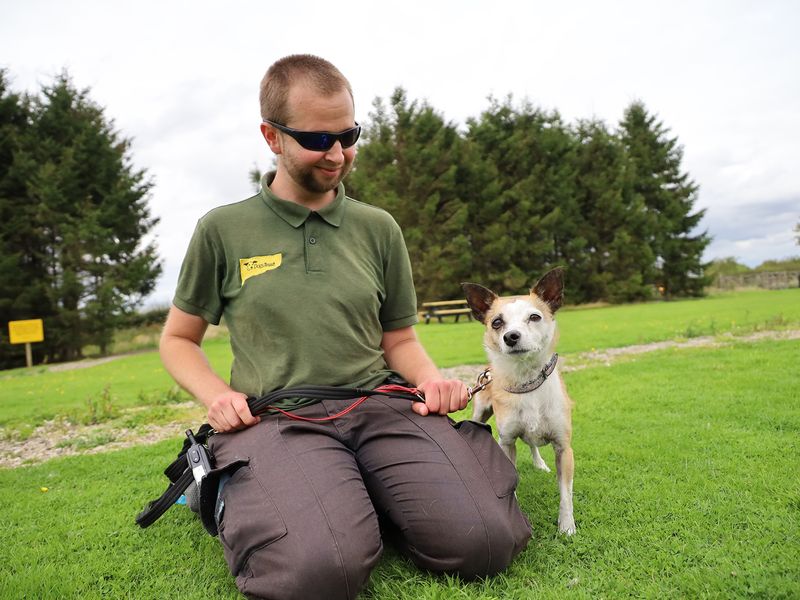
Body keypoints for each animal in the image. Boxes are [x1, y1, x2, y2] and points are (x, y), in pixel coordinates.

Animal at [462, 268, 576, 536]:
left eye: (534, 317)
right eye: (496, 322)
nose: (511, 336)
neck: (527, 382)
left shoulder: (564, 448)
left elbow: (566, 494)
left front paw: (567, 526)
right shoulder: (507, 442)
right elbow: (509, 482)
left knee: (533, 444)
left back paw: (540, 463)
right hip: (480, 412)